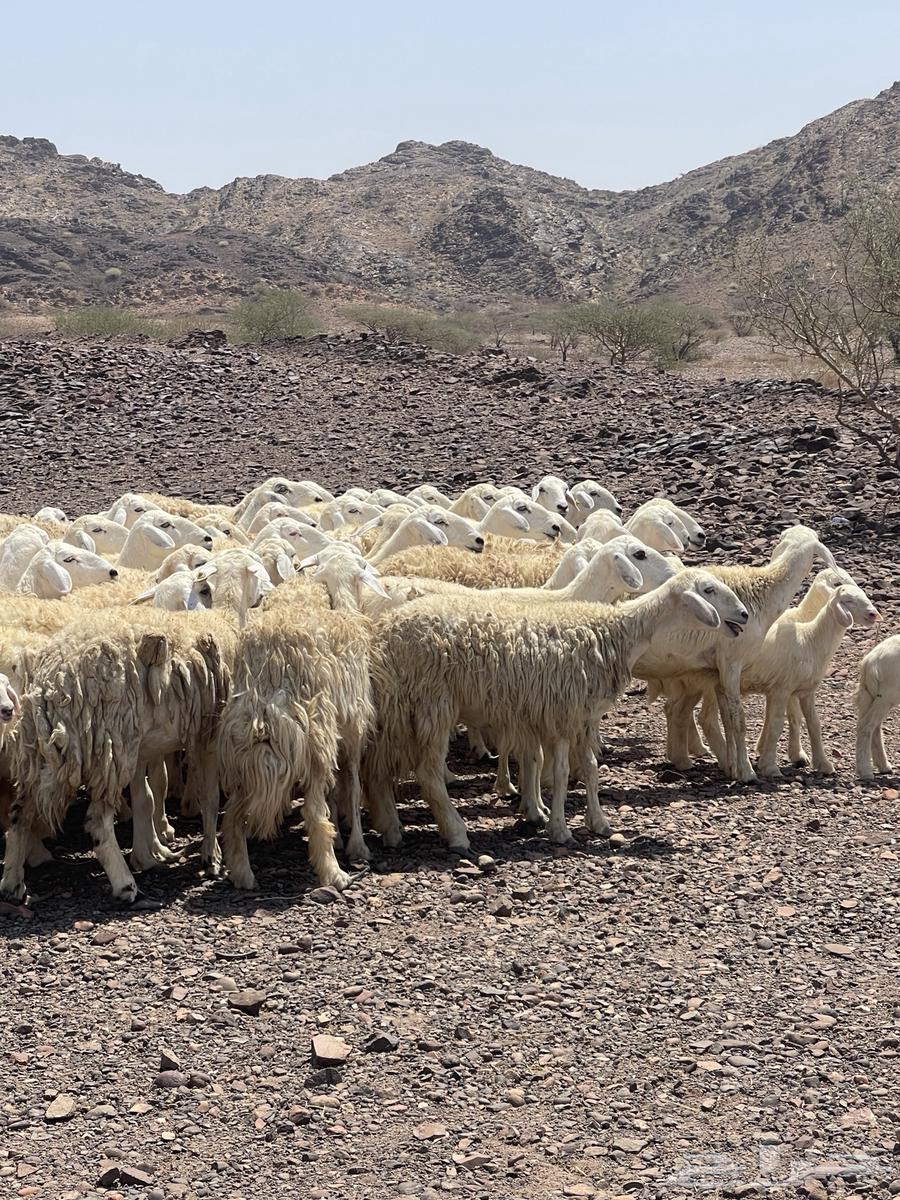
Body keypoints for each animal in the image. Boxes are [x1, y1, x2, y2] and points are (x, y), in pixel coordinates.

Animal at [364, 569, 747, 851]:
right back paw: (456, 833)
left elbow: (590, 768)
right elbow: (562, 773)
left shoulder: (584, 716)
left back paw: (390, 829)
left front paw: (598, 822)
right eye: (709, 589)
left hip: (401, 709)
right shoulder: (562, 713)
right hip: (432, 703)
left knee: (379, 767)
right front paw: (560, 829)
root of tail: (385, 633)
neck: (617, 632)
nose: (744, 614)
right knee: (427, 773)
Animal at [856, 635, 900, 780]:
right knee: (866, 726)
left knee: (874, 726)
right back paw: (865, 771)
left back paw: (883, 766)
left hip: (872, 696)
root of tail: (870, 661)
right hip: (887, 694)